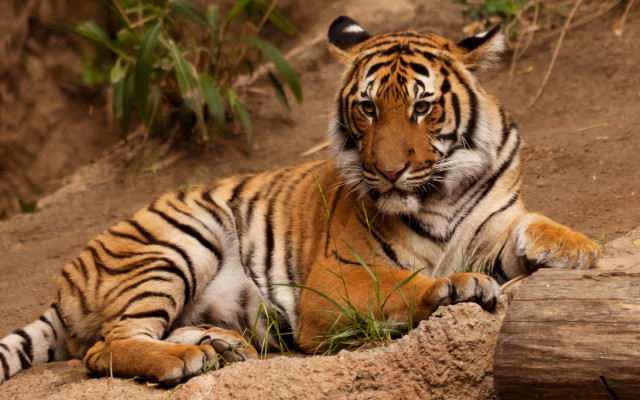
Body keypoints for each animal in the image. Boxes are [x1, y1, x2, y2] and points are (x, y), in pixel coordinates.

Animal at [0, 16, 600, 386]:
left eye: (423, 107)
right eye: (367, 108)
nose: (388, 172)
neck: (441, 189)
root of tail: (66, 282)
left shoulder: (493, 224)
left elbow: (532, 224)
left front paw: (579, 248)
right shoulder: (335, 278)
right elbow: (403, 282)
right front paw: (456, 287)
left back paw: (220, 347)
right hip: (176, 243)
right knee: (107, 345)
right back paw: (187, 359)